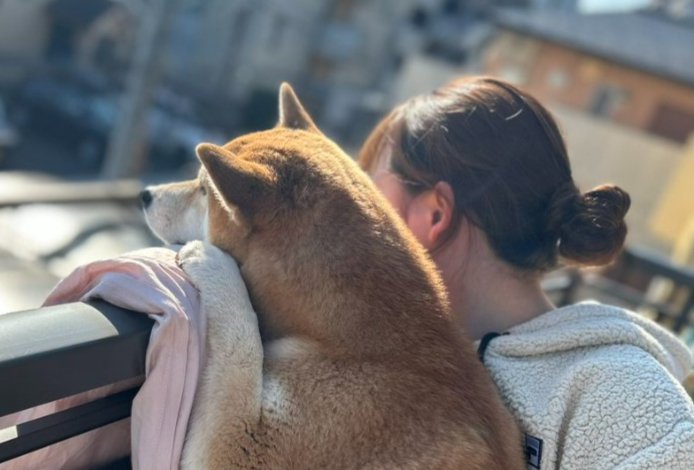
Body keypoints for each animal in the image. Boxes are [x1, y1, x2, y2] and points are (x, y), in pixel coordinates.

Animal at [141, 82, 524, 468]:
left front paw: (212, 262)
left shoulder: (243, 448)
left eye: (203, 189)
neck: (358, 337)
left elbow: (242, 343)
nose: (145, 193)